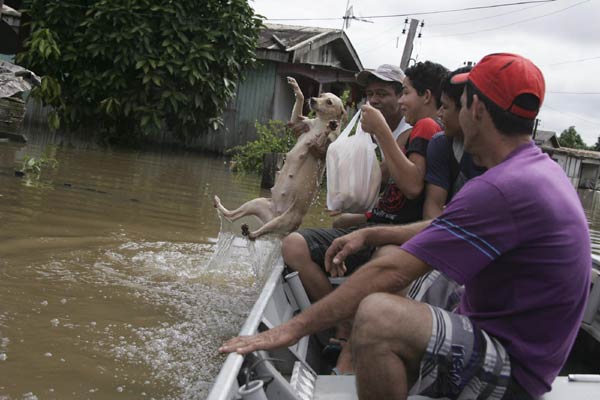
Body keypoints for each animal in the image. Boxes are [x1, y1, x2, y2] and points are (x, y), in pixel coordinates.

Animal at [216, 78, 346, 241]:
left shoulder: (322, 147)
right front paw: (296, 87)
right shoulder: (299, 123)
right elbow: (298, 104)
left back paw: (250, 232)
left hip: (283, 220)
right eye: (321, 95)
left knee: (256, 235)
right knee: (233, 215)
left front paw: (330, 126)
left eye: (329, 102)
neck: (320, 123)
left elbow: (324, 137)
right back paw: (221, 207)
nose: (313, 99)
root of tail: (274, 215)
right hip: (256, 203)